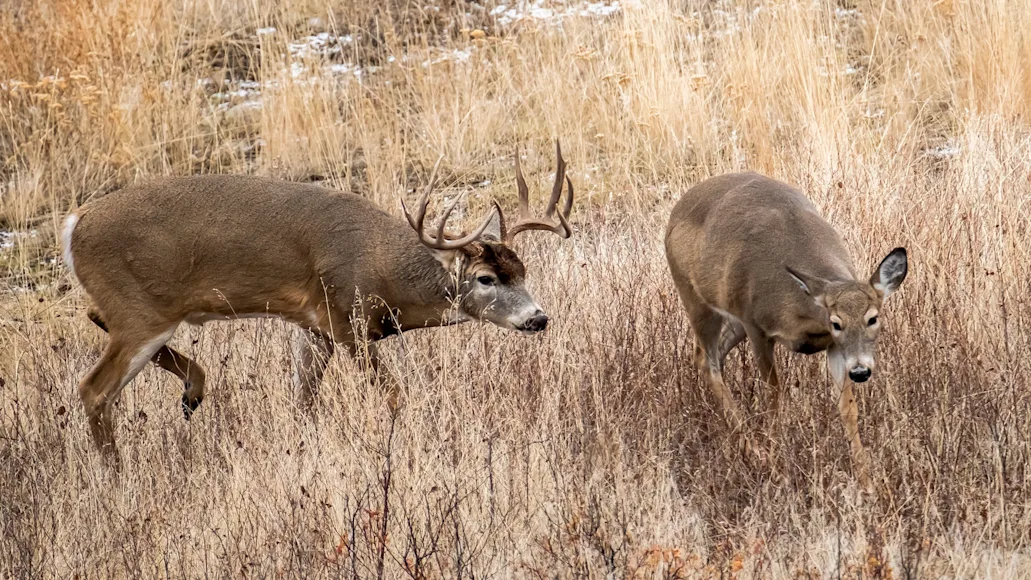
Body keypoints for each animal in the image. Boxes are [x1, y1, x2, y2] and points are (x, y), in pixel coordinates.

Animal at [62, 142, 575, 461]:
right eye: (485, 279)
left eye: (523, 271)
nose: (538, 318)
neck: (384, 269)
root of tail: (74, 224)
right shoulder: (348, 318)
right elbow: (394, 395)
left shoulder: (313, 327)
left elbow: (302, 402)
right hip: (140, 311)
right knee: (93, 389)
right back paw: (117, 473)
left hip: (139, 308)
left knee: (93, 318)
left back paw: (193, 391)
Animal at [664, 172, 908, 491]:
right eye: (836, 322)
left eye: (873, 318)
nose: (861, 371)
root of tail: (677, 209)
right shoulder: (756, 325)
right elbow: (774, 398)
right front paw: (779, 471)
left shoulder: (833, 346)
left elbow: (848, 407)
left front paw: (867, 482)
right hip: (696, 297)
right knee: (709, 361)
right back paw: (755, 453)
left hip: (732, 321)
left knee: (704, 355)